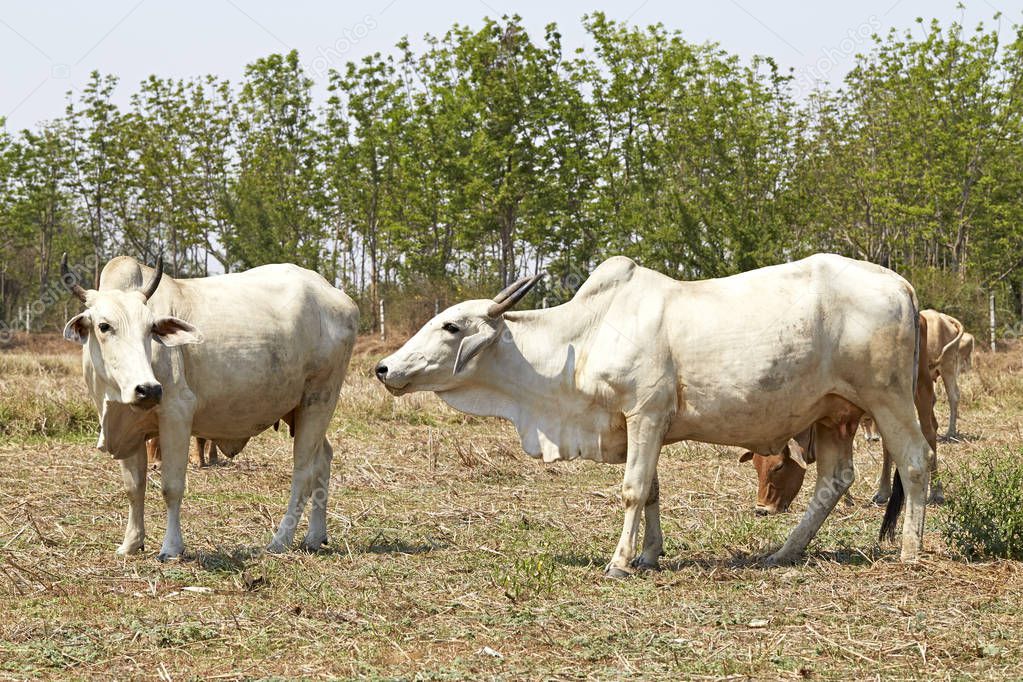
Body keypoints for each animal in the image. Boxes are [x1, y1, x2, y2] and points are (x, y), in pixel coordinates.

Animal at [62, 255, 360, 560]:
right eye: (104, 326)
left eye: (150, 328)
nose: (149, 389)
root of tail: (337, 297)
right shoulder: (127, 427)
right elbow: (134, 488)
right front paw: (131, 543)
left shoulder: (176, 414)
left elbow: (171, 487)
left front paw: (171, 547)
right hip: (299, 410)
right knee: (323, 459)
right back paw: (314, 537)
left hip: (320, 398)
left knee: (304, 471)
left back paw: (281, 540)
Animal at [378, 255, 937, 576]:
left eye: (451, 327)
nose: (384, 368)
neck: (584, 335)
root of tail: (902, 286)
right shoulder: (640, 425)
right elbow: (650, 490)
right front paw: (648, 554)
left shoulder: (644, 414)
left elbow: (631, 489)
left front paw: (619, 562)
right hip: (833, 414)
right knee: (834, 479)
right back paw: (784, 552)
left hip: (887, 398)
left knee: (916, 460)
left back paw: (910, 551)